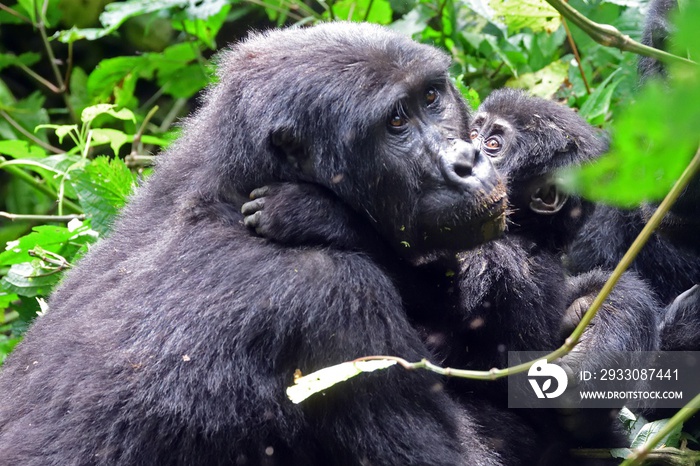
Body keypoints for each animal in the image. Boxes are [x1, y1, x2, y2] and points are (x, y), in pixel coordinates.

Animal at [243, 89, 660, 460]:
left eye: (492, 144)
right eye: (473, 131)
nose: (461, 151)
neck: (528, 230)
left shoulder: (510, 262)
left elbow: (450, 297)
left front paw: (315, 212)